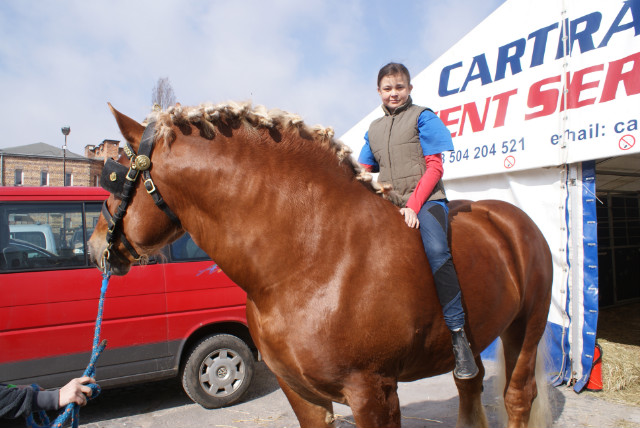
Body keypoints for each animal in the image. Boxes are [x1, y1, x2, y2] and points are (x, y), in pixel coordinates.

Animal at [90, 103, 556, 428]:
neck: (311, 258)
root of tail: (512, 218)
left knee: (518, 396)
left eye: (114, 176)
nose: (96, 247)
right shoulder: (301, 392)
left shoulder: (373, 393)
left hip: (526, 328)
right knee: (470, 387)